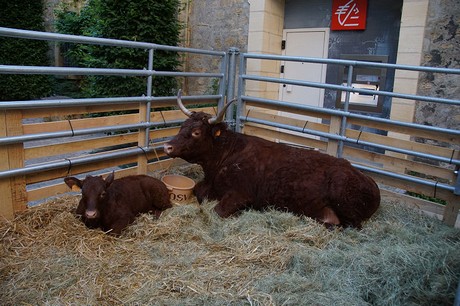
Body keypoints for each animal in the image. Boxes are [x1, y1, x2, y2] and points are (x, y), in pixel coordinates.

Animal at [164, 92, 380, 228]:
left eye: (196, 132)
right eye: (182, 126)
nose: (167, 146)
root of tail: (368, 180)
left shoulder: (240, 195)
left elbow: (217, 210)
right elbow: (199, 192)